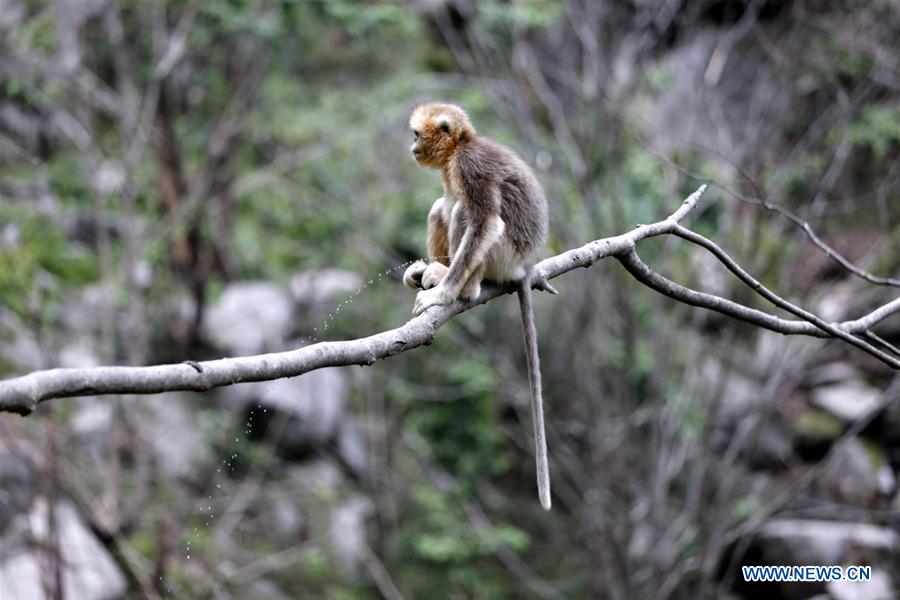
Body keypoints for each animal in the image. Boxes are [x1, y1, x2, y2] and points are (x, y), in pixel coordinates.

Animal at [402, 102, 556, 510]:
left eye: (416, 135)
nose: (412, 149)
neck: (459, 148)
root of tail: (526, 264)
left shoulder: (470, 166)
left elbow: (485, 221)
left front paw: (443, 295)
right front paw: (426, 275)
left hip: (503, 256)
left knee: (465, 214)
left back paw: (463, 287)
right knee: (442, 207)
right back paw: (430, 271)